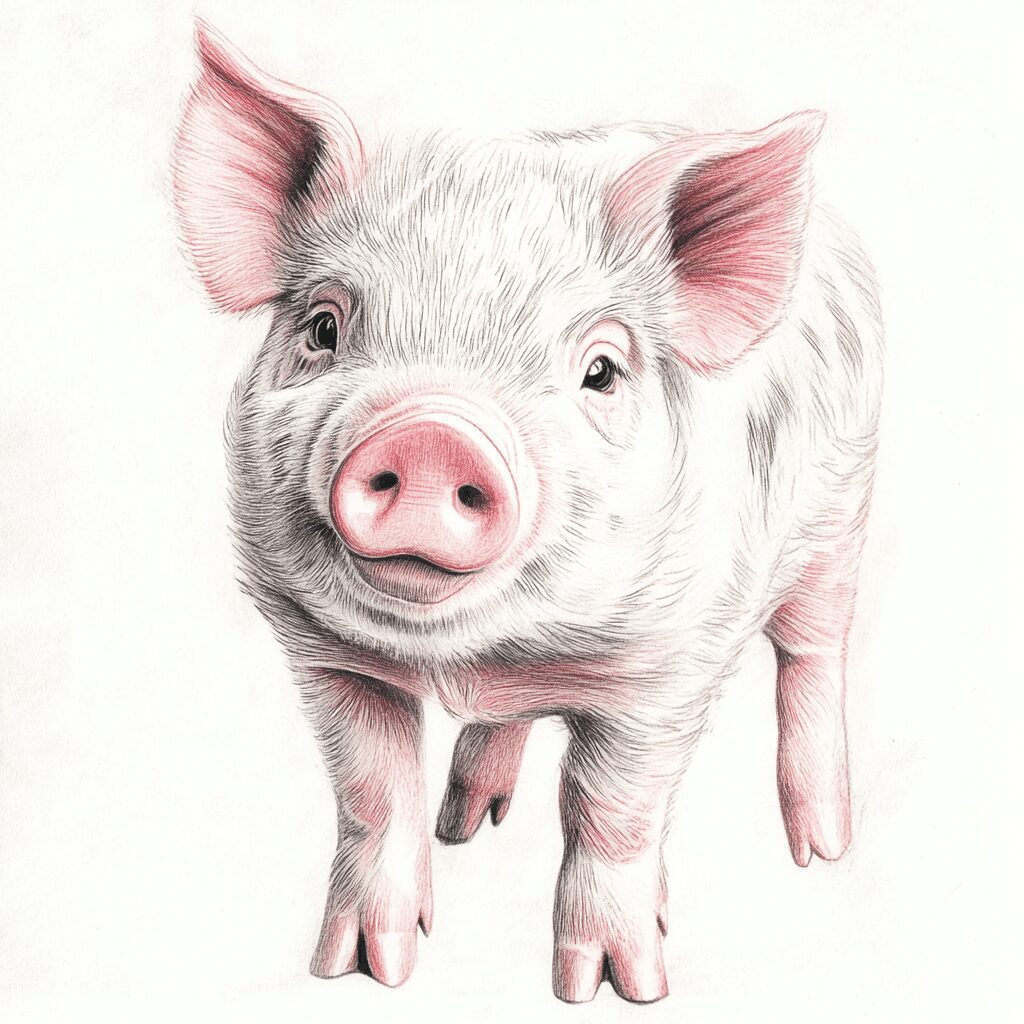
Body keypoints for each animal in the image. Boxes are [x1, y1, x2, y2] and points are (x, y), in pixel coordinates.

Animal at [172, 20, 883, 1004]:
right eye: (322, 328)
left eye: (601, 371)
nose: (433, 435)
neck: (472, 652)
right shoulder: (322, 651)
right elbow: (371, 790)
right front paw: (361, 970)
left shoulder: (665, 670)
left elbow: (611, 810)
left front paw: (612, 989)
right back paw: (466, 824)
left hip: (841, 508)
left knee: (814, 654)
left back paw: (821, 850)